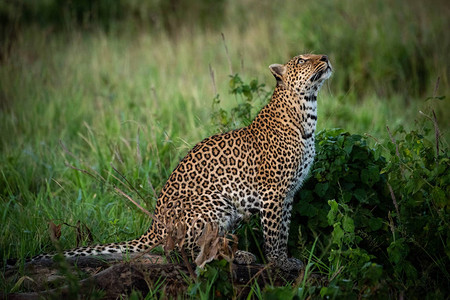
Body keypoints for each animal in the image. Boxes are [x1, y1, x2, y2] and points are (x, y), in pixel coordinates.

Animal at [15, 53, 332, 272]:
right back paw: (237, 255)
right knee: (183, 252)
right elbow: (274, 233)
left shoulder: (289, 194)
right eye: (302, 59)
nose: (326, 57)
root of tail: (155, 225)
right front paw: (279, 263)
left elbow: (285, 229)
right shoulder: (273, 194)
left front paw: (287, 259)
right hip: (212, 203)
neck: (307, 111)